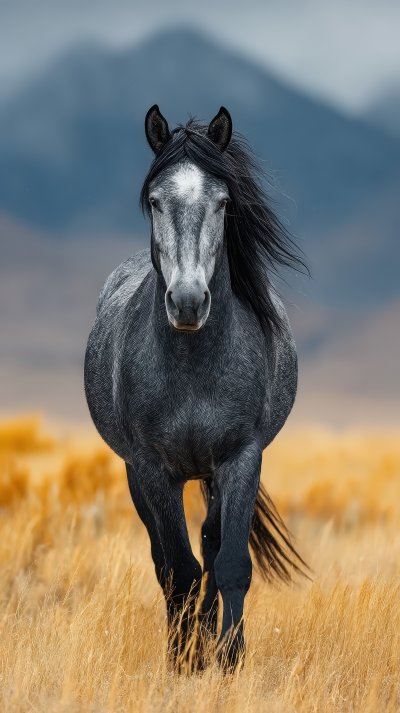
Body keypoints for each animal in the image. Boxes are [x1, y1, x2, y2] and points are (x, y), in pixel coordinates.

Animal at [84, 105, 308, 672]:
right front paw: (183, 661)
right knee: (167, 560)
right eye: (155, 201)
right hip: (139, 477)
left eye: (224, 202)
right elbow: (178, 570)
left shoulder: (241, 458)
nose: (187, 302)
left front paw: (228, 658)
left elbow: (229, 564)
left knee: (209, 543)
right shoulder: (152, 469)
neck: (193, 368)